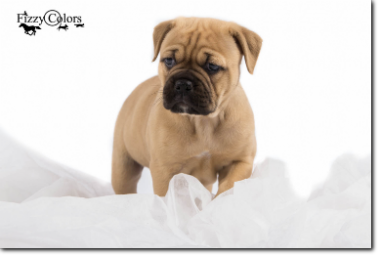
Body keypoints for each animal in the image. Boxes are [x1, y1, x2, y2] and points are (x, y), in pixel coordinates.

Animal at [111, 17, 262, 196]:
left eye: (212, 66)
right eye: (169, 60)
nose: (182, 83)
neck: (203, 122)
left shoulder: (239, 161)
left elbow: (228, 188)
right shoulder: (165, 170)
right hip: (123, 166)